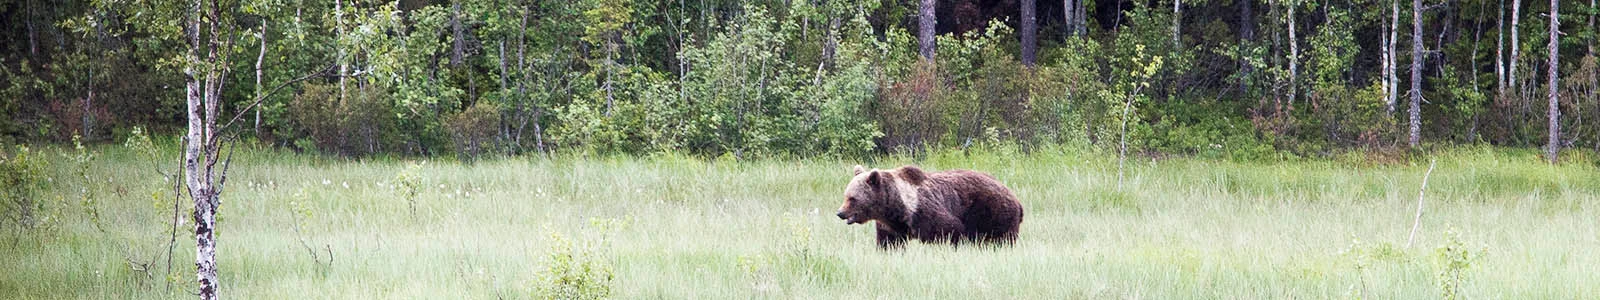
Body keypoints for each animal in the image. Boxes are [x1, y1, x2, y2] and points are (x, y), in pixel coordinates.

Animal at [838, 164, 1024, 248]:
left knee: (1001, 239)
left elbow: (949, 229)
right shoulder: (890, 225)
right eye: (845, 196)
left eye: (853, 199)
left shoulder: (925, 213)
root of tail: (1017, 199)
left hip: (993, 212)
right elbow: (889, 242)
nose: (840, 213)